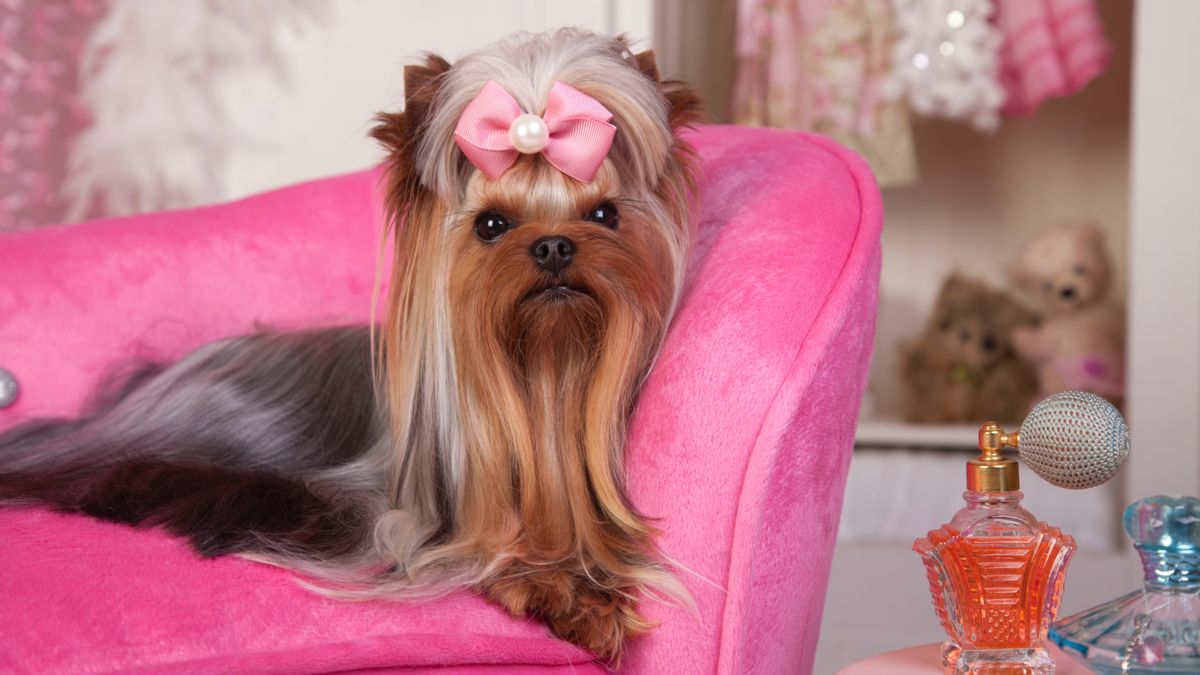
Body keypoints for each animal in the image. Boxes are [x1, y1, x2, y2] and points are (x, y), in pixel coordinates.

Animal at [0, 30, 700, 658]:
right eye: (491, 225)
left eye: (604, 214)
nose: (554, 246)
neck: (545, 369)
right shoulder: (398, 517)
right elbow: (464, 550)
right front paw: (559, 588)